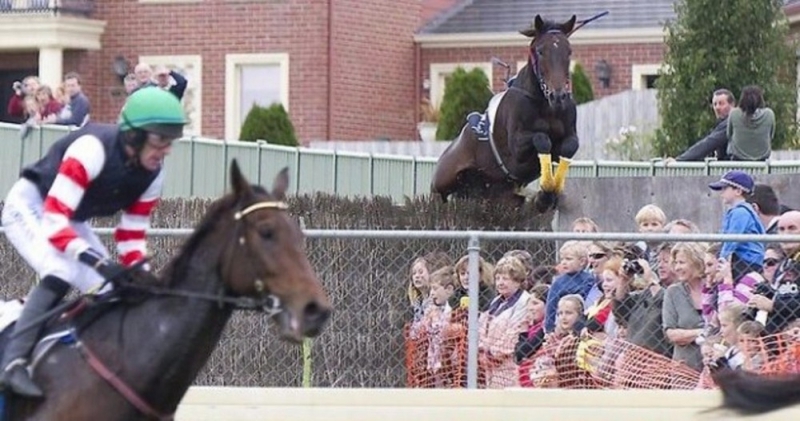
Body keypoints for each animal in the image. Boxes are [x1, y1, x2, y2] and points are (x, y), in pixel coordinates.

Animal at [434, 14, 580, 212]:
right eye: (541, 51)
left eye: (569, 52)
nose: (558, 96)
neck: (545, 105)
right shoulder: (517, 148)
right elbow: (542, 138)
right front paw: (547, 188)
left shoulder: (568, 136)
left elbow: (568, 146)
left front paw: (549, 192)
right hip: (444, 180)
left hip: (498, 195)